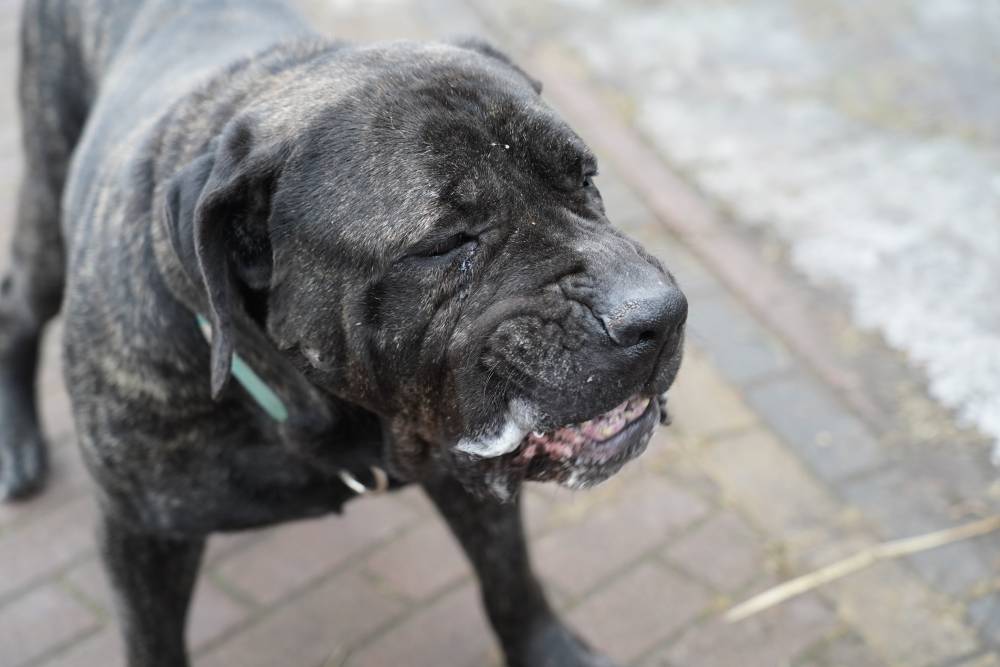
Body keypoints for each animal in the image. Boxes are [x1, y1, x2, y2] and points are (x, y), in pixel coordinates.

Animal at [3, 0, 687, 664]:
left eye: (585, 178)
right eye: (446, 244)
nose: (659, 313)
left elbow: (510, 580)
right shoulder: (140, 532)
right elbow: (153, 644)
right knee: (18, 305)